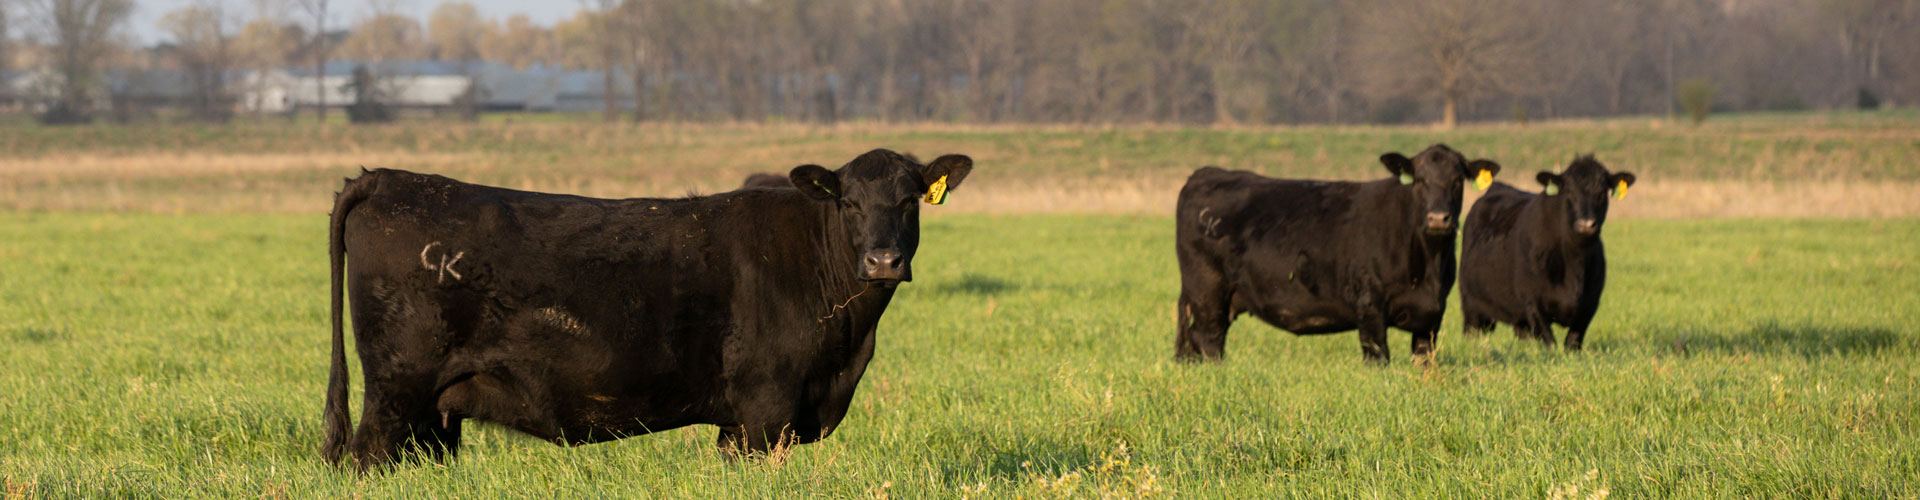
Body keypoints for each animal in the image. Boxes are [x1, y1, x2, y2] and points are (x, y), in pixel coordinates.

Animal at [322, 148, 975, 469]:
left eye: (911, 200)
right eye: (849, 203)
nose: (883, 260)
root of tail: (389, 178)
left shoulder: (740, 425)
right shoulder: (766, 409)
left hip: (431, 416)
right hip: (395, 391)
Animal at [1167, 144, 1497, 363]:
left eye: (1457, 181)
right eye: (1419, 180)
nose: (1438, 218)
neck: (1428, 265)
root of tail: (1206, 173)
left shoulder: (1432, 318)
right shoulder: (1370, 307)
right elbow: (1378, 356)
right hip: (1207, 293)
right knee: (1208, 340)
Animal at [1459, 153, 1643, 350]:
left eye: (1601, 193)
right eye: (1569, 192)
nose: (1586, 224)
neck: (1575, 263)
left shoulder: (1590, 304)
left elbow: (1572, 342)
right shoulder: (1532, 303)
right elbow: (1550, 342)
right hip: (1472, 308)